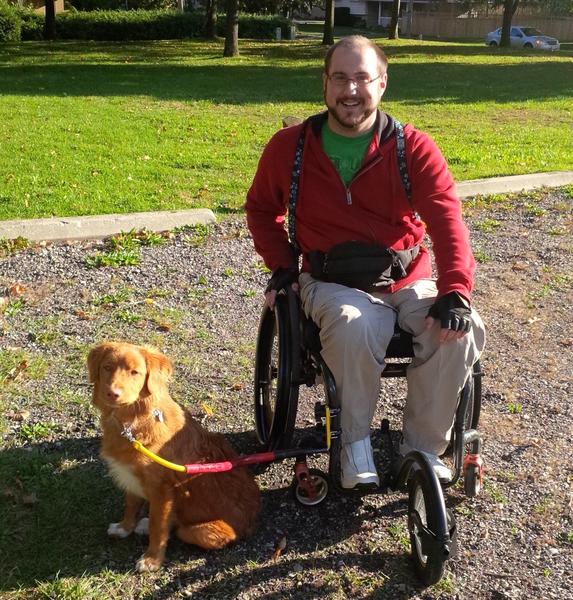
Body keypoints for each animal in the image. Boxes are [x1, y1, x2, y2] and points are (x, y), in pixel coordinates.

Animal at [86, 342, 260, 572]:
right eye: (107, 367)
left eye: (135, 372)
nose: (112, 393)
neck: (131, 423)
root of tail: (253, 519)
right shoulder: (131, 476)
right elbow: (130, 505)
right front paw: (124, 528)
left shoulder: (162, 489)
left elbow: (158, 527)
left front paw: (152, 560)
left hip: (203, 531)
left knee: (178, 528)